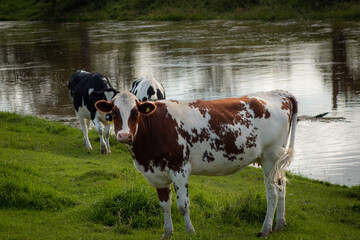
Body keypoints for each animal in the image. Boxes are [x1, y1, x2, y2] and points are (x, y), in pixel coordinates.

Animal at [94, 90, 296, 238]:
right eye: (113, 114)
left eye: (135, 113)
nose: (123, 136)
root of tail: (279, 93)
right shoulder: (157, 175)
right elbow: (164, 205)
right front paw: (167, 234)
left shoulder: (179, 169)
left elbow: (183, 205)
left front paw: (190, 232)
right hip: (276, 161)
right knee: (282, 186)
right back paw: (279, 225)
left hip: (270, 156)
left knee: (272, 192)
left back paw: (266, 229)